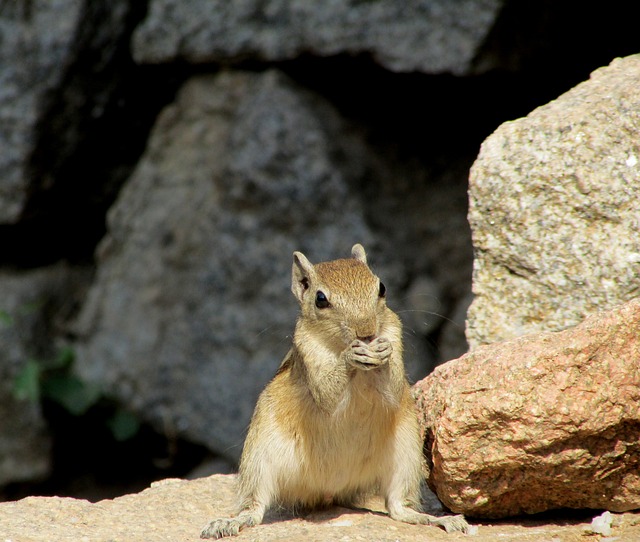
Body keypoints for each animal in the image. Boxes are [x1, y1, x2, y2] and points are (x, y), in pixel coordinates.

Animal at [201, 245, 470, 540]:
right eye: (321, 299)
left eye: (382, 288)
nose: (366, 333)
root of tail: (330, 489)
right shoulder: (309, 356)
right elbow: (328, 397)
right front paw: (350, 357)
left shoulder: (394, 336)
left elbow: (394, 389)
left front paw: (382, 352)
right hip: (258, 459)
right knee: (255, 507)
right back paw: (228, 523)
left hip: (407, 455)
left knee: (399, 508)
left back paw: (439, 520)